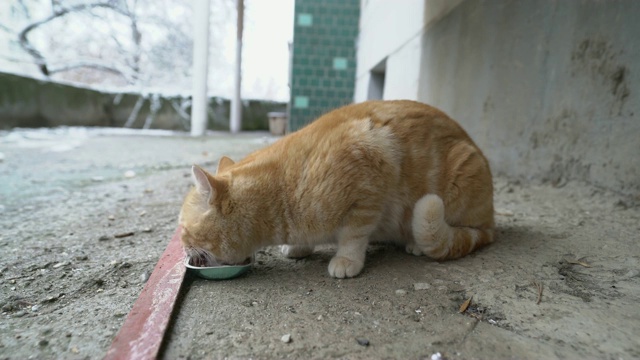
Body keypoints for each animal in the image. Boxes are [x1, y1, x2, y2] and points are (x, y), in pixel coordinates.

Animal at [180, 100, 496, 278]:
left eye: (181, 228)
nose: (182, 246)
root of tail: (492, 220)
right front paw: (299, 247)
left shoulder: (371, 176)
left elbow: (353, 235)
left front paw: (346, 260)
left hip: (461, 172)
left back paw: (417, 243)